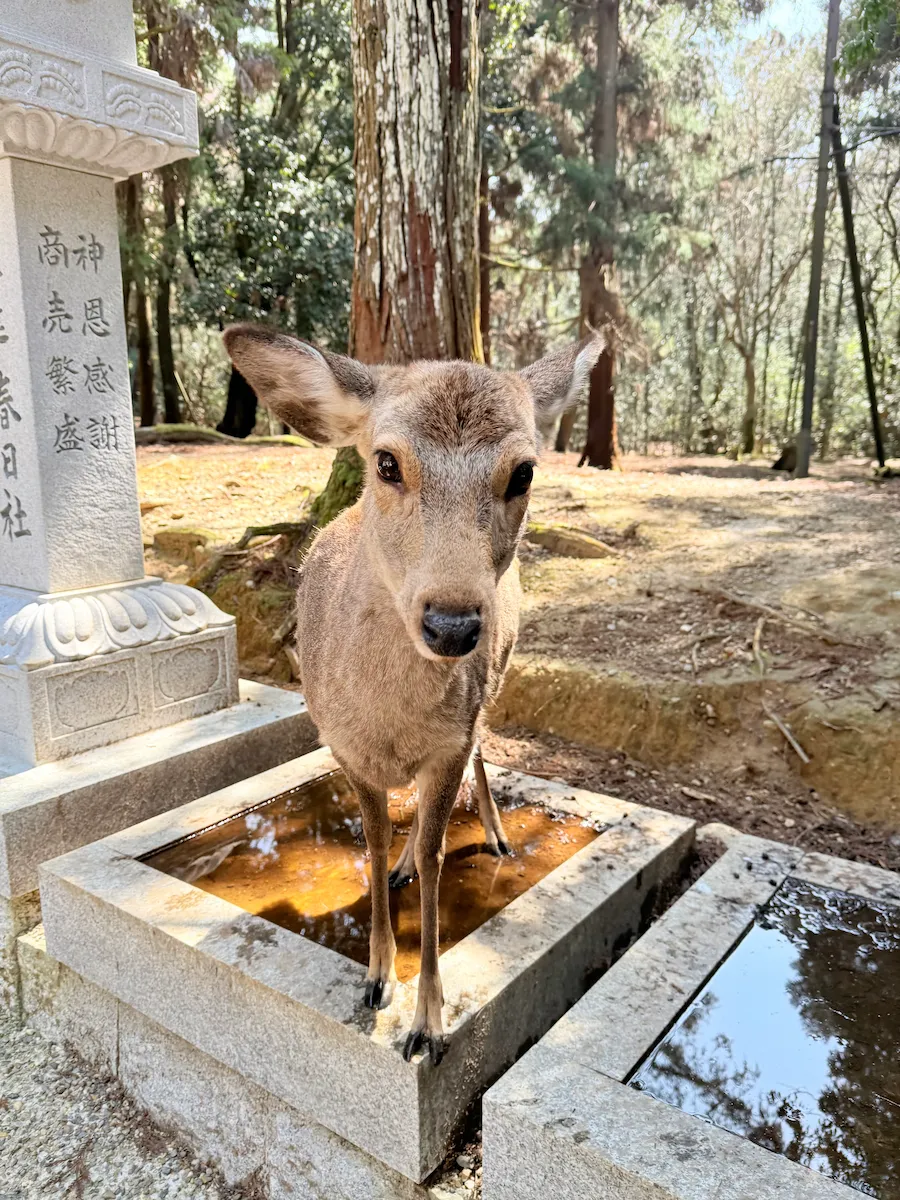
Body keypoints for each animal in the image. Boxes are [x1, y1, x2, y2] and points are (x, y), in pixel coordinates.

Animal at [223, 325, 602, 1065]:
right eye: (387, 462)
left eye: (524, 471)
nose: (452, 624)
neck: (390, 722)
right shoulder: (343, 746)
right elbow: (372, 842)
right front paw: (376, 978)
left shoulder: (448, 742)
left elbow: (435, 853)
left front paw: (428, 1022)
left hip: (495, 682)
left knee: (478, 761)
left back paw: (498, 836)